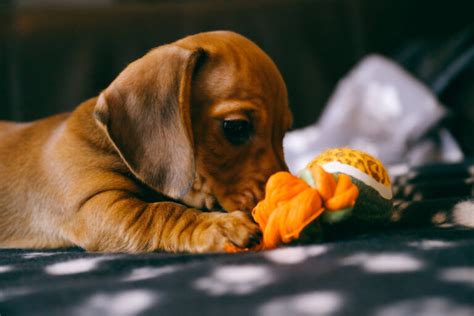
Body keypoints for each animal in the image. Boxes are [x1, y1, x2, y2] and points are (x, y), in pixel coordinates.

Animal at [0, 30, 290, 253]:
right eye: (236, 127)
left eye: (285, 132)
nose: (280, 201)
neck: (112, 146)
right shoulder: (95, 204)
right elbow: (161, 211)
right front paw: (218, 226)